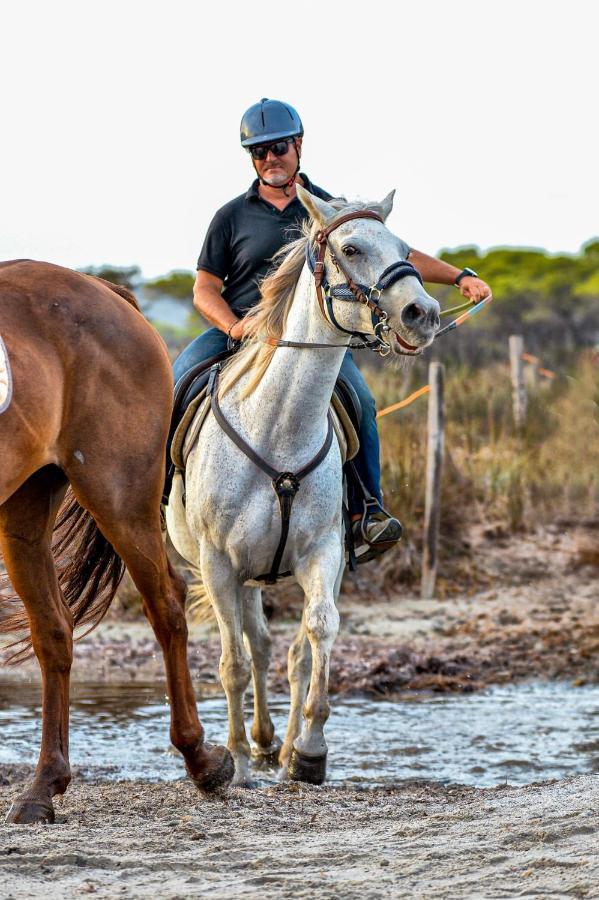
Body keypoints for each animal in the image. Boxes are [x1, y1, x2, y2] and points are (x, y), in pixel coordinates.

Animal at [0, 258, 234, 824]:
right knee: (54, 631)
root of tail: (100, 288)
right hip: (23, 511)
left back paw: (201, 760)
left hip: (118, 496)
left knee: (166, 604)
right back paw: (43, 786)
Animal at [168, 190, 440, 788]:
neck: (278, 426)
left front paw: (309, 752)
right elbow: (232, 662)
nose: (424, 314)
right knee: (253, 646)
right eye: (351, 248)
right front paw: (236, 763)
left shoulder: (324, 552)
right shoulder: (218, 564)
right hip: (236, 572)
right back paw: (257, 744)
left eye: (407, 248)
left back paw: (280, 744)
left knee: (283, 650)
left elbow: (317, 634)